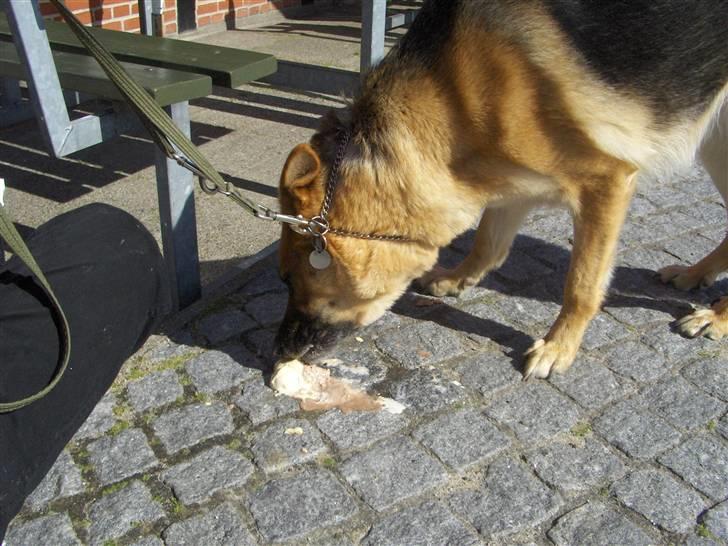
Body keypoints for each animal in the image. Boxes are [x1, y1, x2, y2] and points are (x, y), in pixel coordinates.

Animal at [274, 0, 728, 376]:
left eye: (289, 279)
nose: (280, 352)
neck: (451, 96)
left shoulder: (607, 183)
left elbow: (581, 284)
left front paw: (558, 346)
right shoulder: (510, 180)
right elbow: (487, 243)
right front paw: (457, 278)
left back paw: (717, 316)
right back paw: (695, 274)